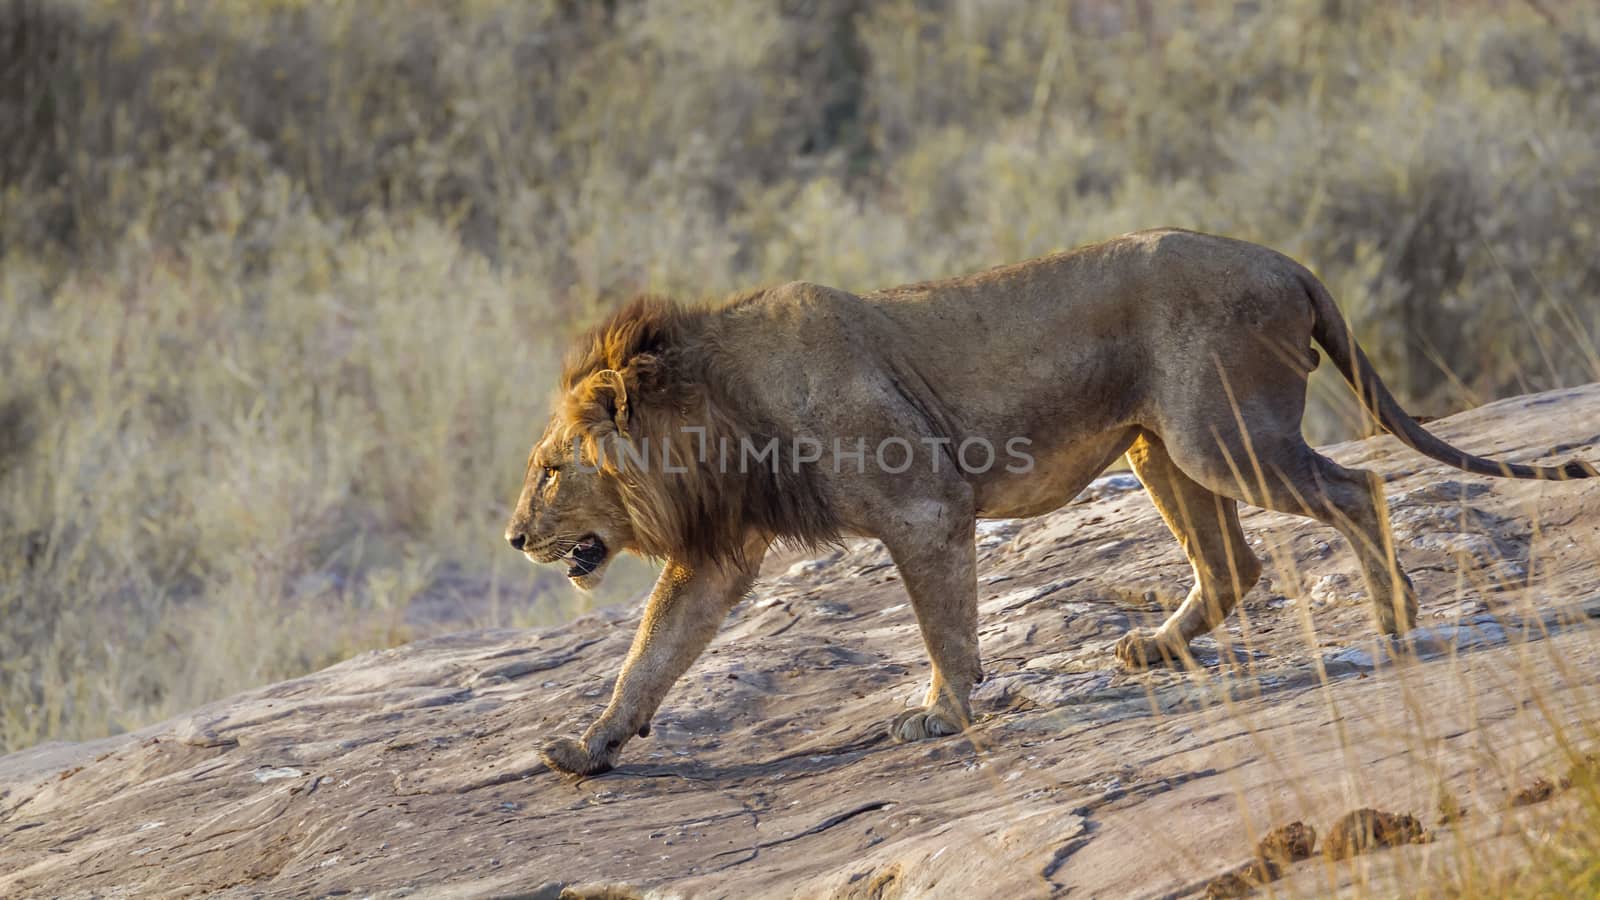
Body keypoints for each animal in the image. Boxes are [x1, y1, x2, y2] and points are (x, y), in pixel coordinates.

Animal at [505, 225, 1593, 771]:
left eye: (551, 468)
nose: (514, 538)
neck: (717, 411)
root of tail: (1287, 260)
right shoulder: (718, 553)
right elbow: (651, 656)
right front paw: (589, 748)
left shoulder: (923, 506)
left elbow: (944, 629)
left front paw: (941, 716)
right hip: (1163, 448)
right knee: (1234, 562)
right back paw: (1155, 648)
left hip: (1221, 438)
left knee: (1358, 488)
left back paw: (1392, 622)